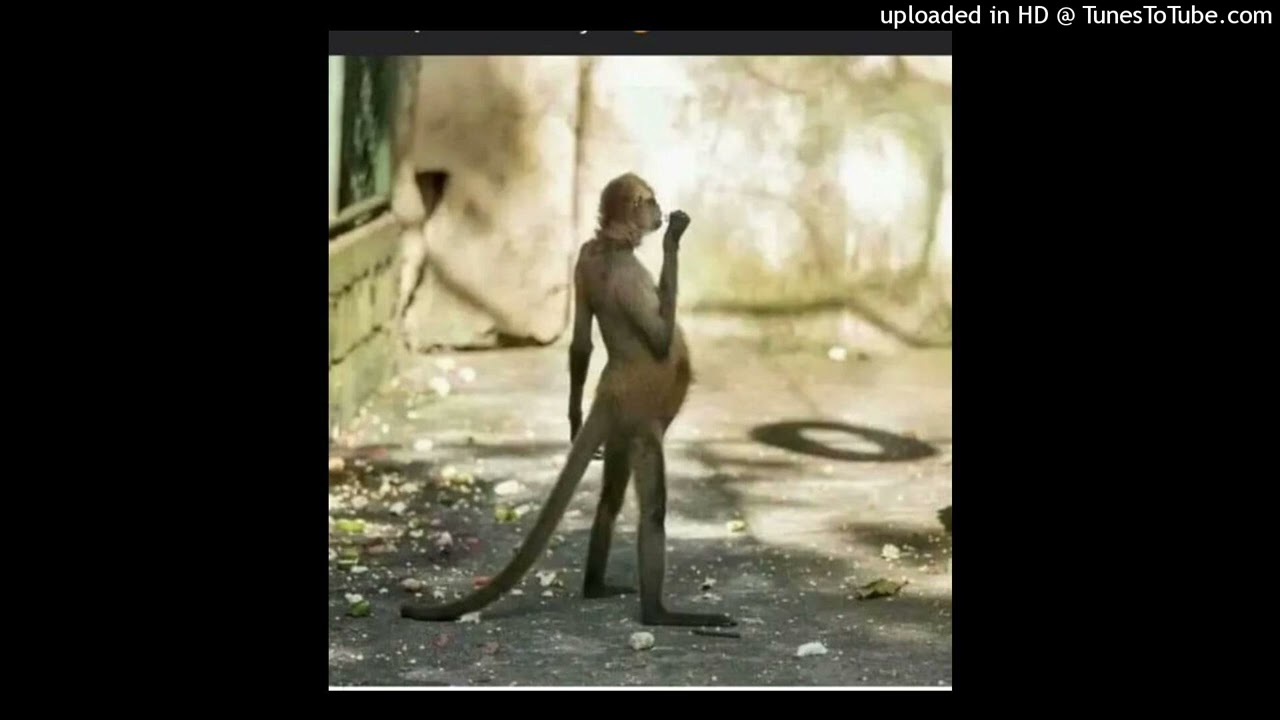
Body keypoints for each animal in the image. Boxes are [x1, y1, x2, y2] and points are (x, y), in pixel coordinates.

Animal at [401, 173, 735, 628]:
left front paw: (573, 422)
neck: (609, 245)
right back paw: (658, 614)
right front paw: (672, 238)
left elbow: (580, 343)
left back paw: (596, 587)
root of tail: (610, 391)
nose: (660, 211)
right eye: (650, 202)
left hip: (621, 431)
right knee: (652, 512)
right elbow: (661, 341)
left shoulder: (581, 258)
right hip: (643, 430)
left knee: (609, 501)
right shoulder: (627, 272)